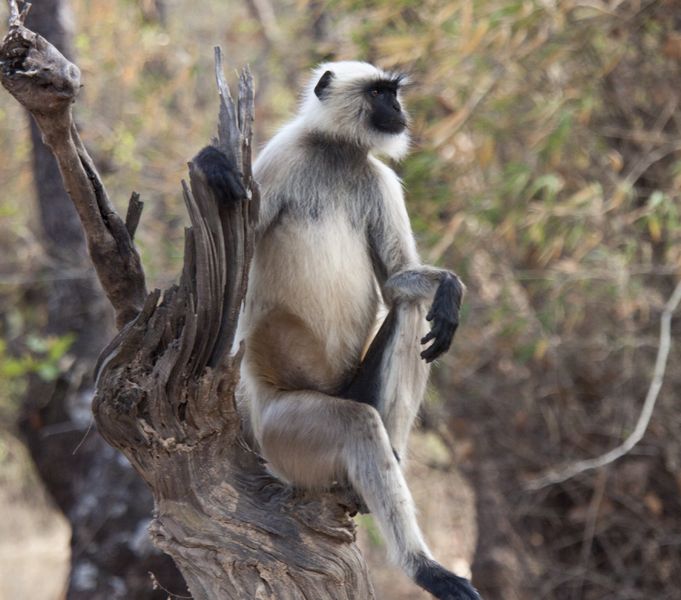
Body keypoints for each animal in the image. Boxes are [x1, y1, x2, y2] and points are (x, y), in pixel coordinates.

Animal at [191, 61, 478, 600]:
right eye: (381, 94)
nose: (399, 110)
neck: (337, 152)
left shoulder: (378, 179)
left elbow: (395, 283)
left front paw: (449, 286)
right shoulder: (281, 156)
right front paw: (210, 164)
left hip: (350, 392)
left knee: (413, 311)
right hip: (286, 435)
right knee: (357, 425)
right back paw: (424, 568)